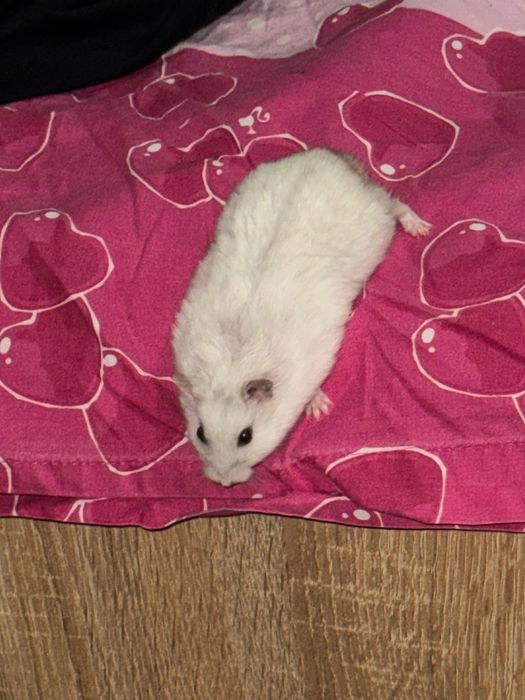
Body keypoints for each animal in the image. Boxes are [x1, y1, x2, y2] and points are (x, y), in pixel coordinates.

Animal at [172, 148, 430, 486]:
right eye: (201, 433)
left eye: (246, 436)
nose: (225, 482)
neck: (234, 364)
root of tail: (331, 157)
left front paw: (320, 409)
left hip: (378, 216)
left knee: (396, 203)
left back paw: (421, 228)